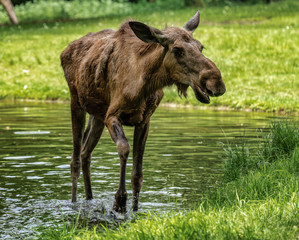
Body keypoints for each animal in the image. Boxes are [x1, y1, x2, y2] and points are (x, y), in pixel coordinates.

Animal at [60, 11, 225, 212]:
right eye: (177, 50)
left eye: (201, 47)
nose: (215, 82)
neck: (143, 84)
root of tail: (64, 51)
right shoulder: (112, 115)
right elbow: (124, 148)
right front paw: (119, 200)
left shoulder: (144, 121)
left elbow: (137, 174)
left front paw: (134, 209)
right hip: (76, 102)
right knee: (75, 160)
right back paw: (74, 203)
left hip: (96, 114)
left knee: (86, 153)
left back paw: (90, 199)